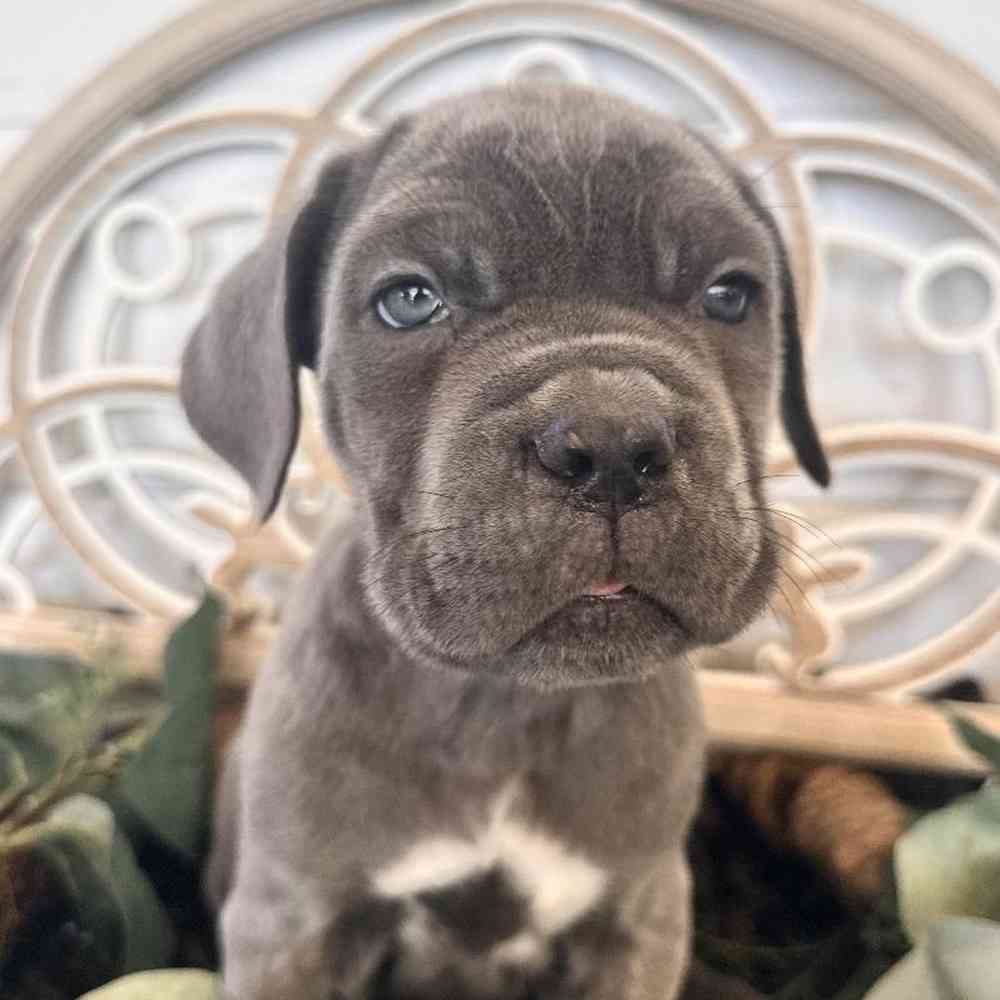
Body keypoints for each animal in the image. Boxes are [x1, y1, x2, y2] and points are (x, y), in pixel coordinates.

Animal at [180, 86, 828, 1000]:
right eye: (410, 300)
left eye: (731, 294)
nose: (612, 439)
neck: (503, 703)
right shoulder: (292, 925)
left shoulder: (640, 916)